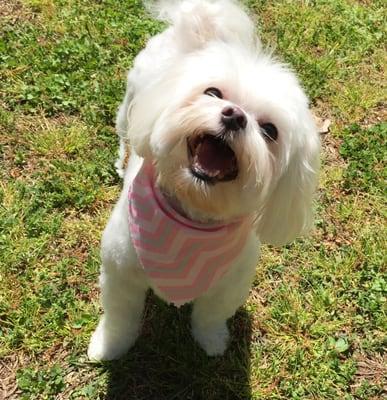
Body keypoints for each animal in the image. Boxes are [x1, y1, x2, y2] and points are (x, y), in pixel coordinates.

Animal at [88, 0, 322, 362]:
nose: (235, 115)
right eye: (212, 92)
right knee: (125, 131)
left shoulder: (229, 285)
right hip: (130, 105)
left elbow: (211, 316)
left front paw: (211, 342)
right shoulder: (119, 273)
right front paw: (108, 348)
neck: (191, 214)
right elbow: (119, 317)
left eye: (270, 130)